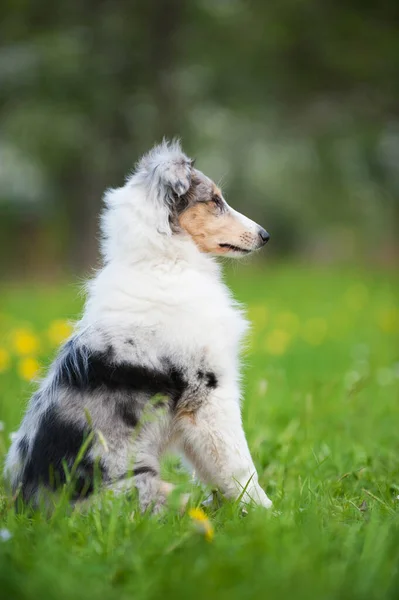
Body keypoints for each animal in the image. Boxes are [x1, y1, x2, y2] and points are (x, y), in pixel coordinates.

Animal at [3, 139, 272, 510]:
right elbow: (238, 464)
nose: (266, 235)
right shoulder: (209, 395)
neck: (164, 259)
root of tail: (30, 504)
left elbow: (213, 470)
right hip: (150, 489)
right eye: (215, 201)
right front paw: (270, 514)